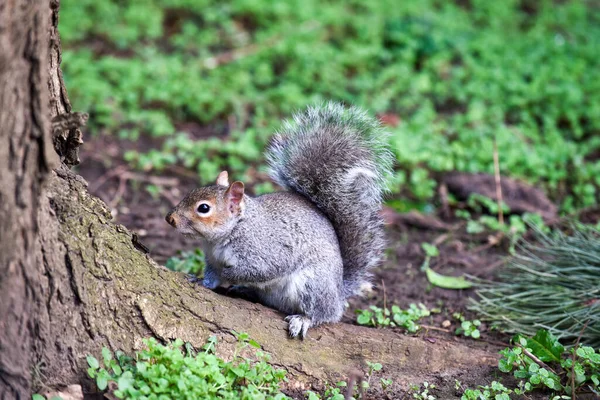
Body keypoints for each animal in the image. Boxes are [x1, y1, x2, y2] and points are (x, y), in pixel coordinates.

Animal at [164, 102, 394, 338]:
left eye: (204, 208)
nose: (170, 218)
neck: (233, 230)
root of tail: (338, 293)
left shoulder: (266, 252)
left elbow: (262, 270)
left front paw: (229, 274)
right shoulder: (211, 258)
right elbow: (211, 276)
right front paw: (201, 280)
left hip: (313, 284)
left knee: (323, 314)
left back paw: (303, 319)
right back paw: (245, 290)